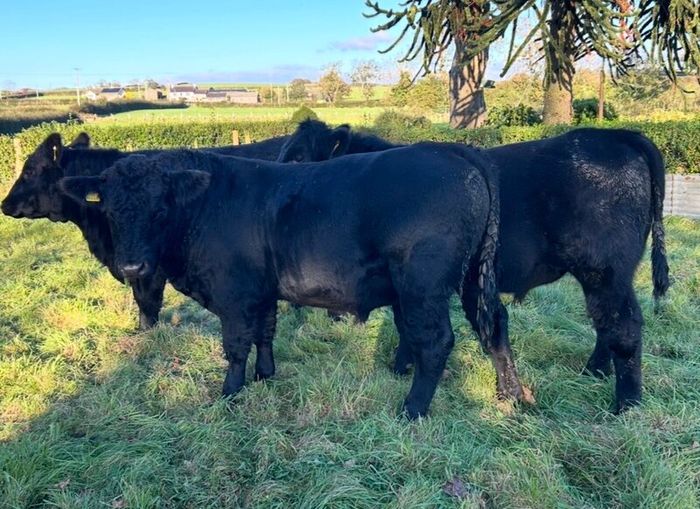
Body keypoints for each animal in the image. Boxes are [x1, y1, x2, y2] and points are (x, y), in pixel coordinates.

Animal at [57, 144, 501, 419]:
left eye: (160, 208)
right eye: (110, 209)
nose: (132, 267)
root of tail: (448, 149)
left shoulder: (234, 296)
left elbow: (236, 345)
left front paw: (230, 393)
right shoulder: (263, 292)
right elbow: (265, 331)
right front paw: (265, 374)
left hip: (424, 287)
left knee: (436, 341)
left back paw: (412, 409)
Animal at [277, 119, 670, 413]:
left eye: (298, 158)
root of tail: (619, 136)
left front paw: (403, 369)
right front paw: (403, 366)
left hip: (604, 270)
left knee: (623, 326)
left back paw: (626, 404)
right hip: (606, 276)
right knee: (606, 322)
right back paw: (594, 372)